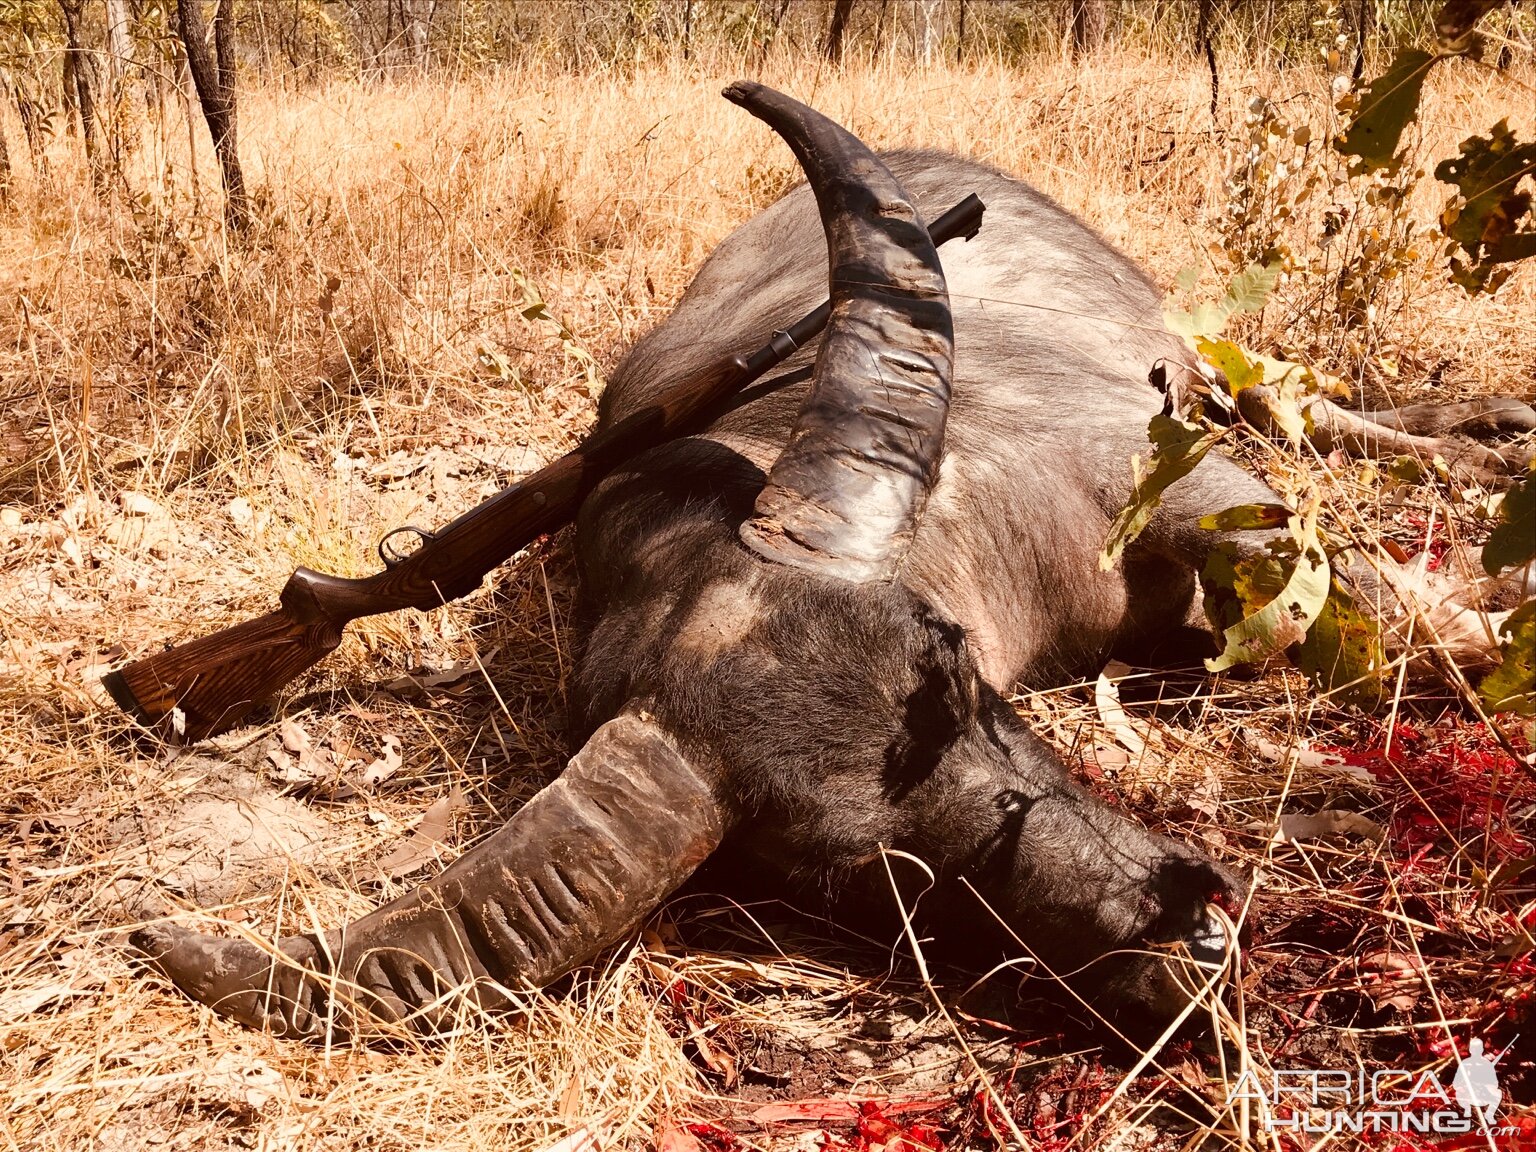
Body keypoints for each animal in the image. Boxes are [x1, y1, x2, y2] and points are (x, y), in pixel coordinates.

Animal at [132, 81, 1523, 1038]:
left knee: (1307, 402)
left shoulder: (1185, 482)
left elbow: (1363, 608)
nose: (1190, 938)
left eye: (962, 683)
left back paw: (1483, 426)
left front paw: (1487, 614)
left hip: (1207, 360)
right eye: (869, 873)